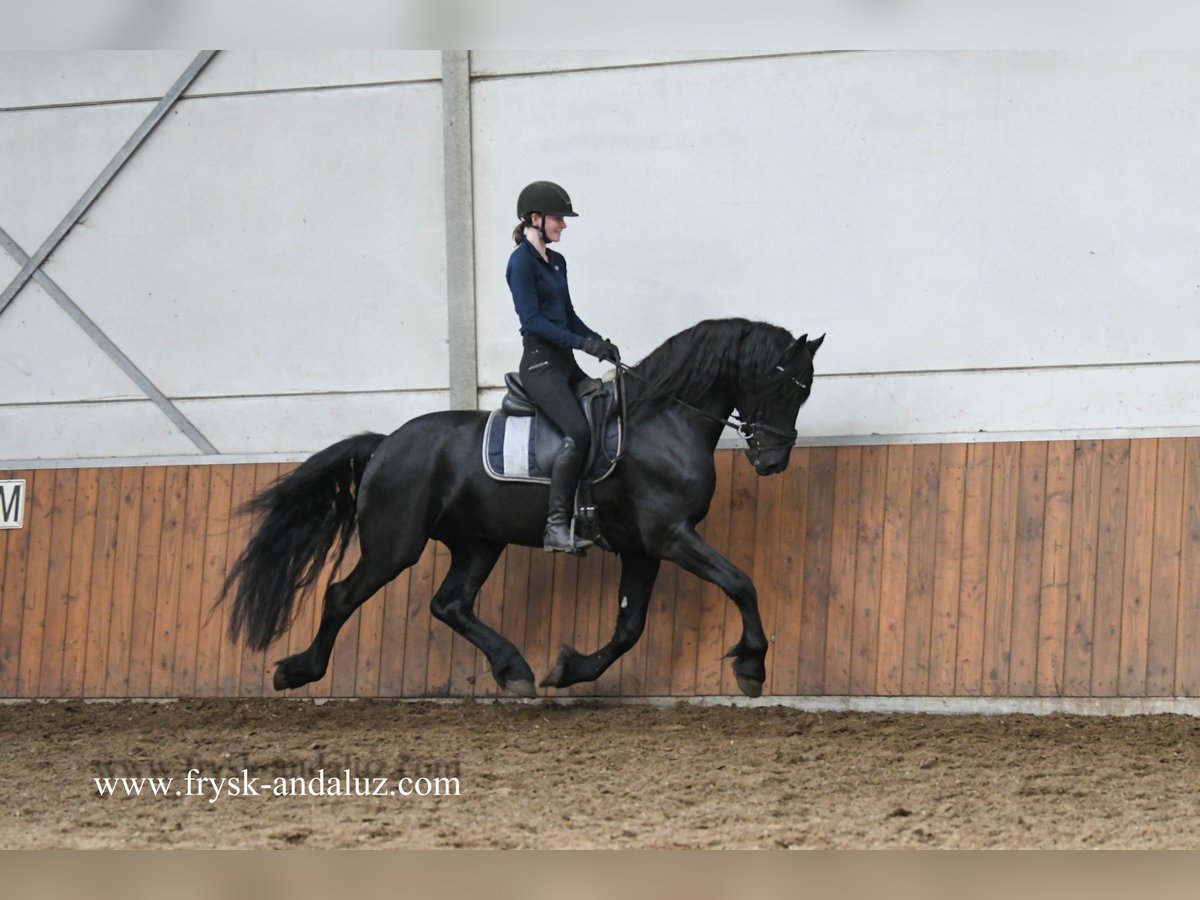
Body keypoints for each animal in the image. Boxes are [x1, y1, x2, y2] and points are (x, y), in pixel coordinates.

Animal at [223, 318, 823, 698]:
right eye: (782, 385)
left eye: (805, 391)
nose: (773, 461)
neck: (663, 420)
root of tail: (387, 442)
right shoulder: (670, 536)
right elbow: (740, 582)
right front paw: (752, 665)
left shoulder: (643, 547)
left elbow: (630, 627)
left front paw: (569, 670)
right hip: (395, 544)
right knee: (344, 595)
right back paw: (298, 671)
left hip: (478, 543)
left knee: (450, 604)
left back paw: (514, 670)